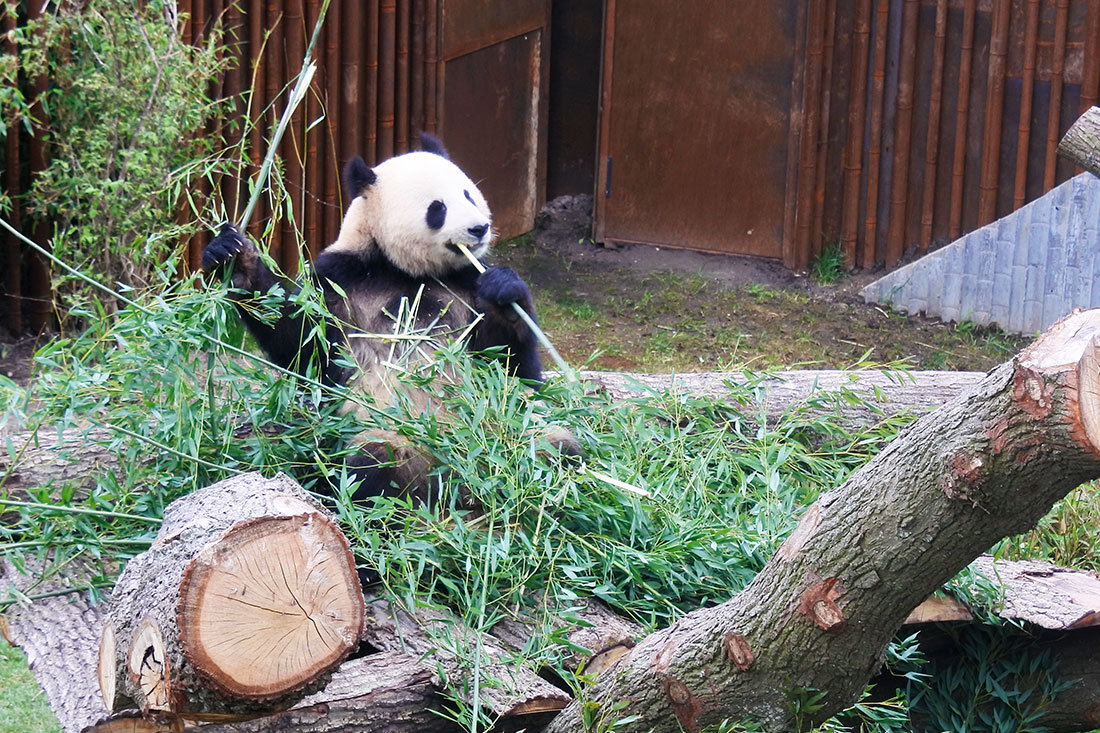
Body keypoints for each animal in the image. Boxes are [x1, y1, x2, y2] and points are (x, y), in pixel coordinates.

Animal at [202, 134, 563, 499]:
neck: (404, 269)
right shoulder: (340, 281)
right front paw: (234, 258)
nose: (479, 228)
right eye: (438, 208)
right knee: (369, 467)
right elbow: (299, 339)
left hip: (517, 429)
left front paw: (504, 292)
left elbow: (509, 365)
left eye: (468, 194)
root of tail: (455, 474)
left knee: (554, 448)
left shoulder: (466, 282)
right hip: (387, 437)